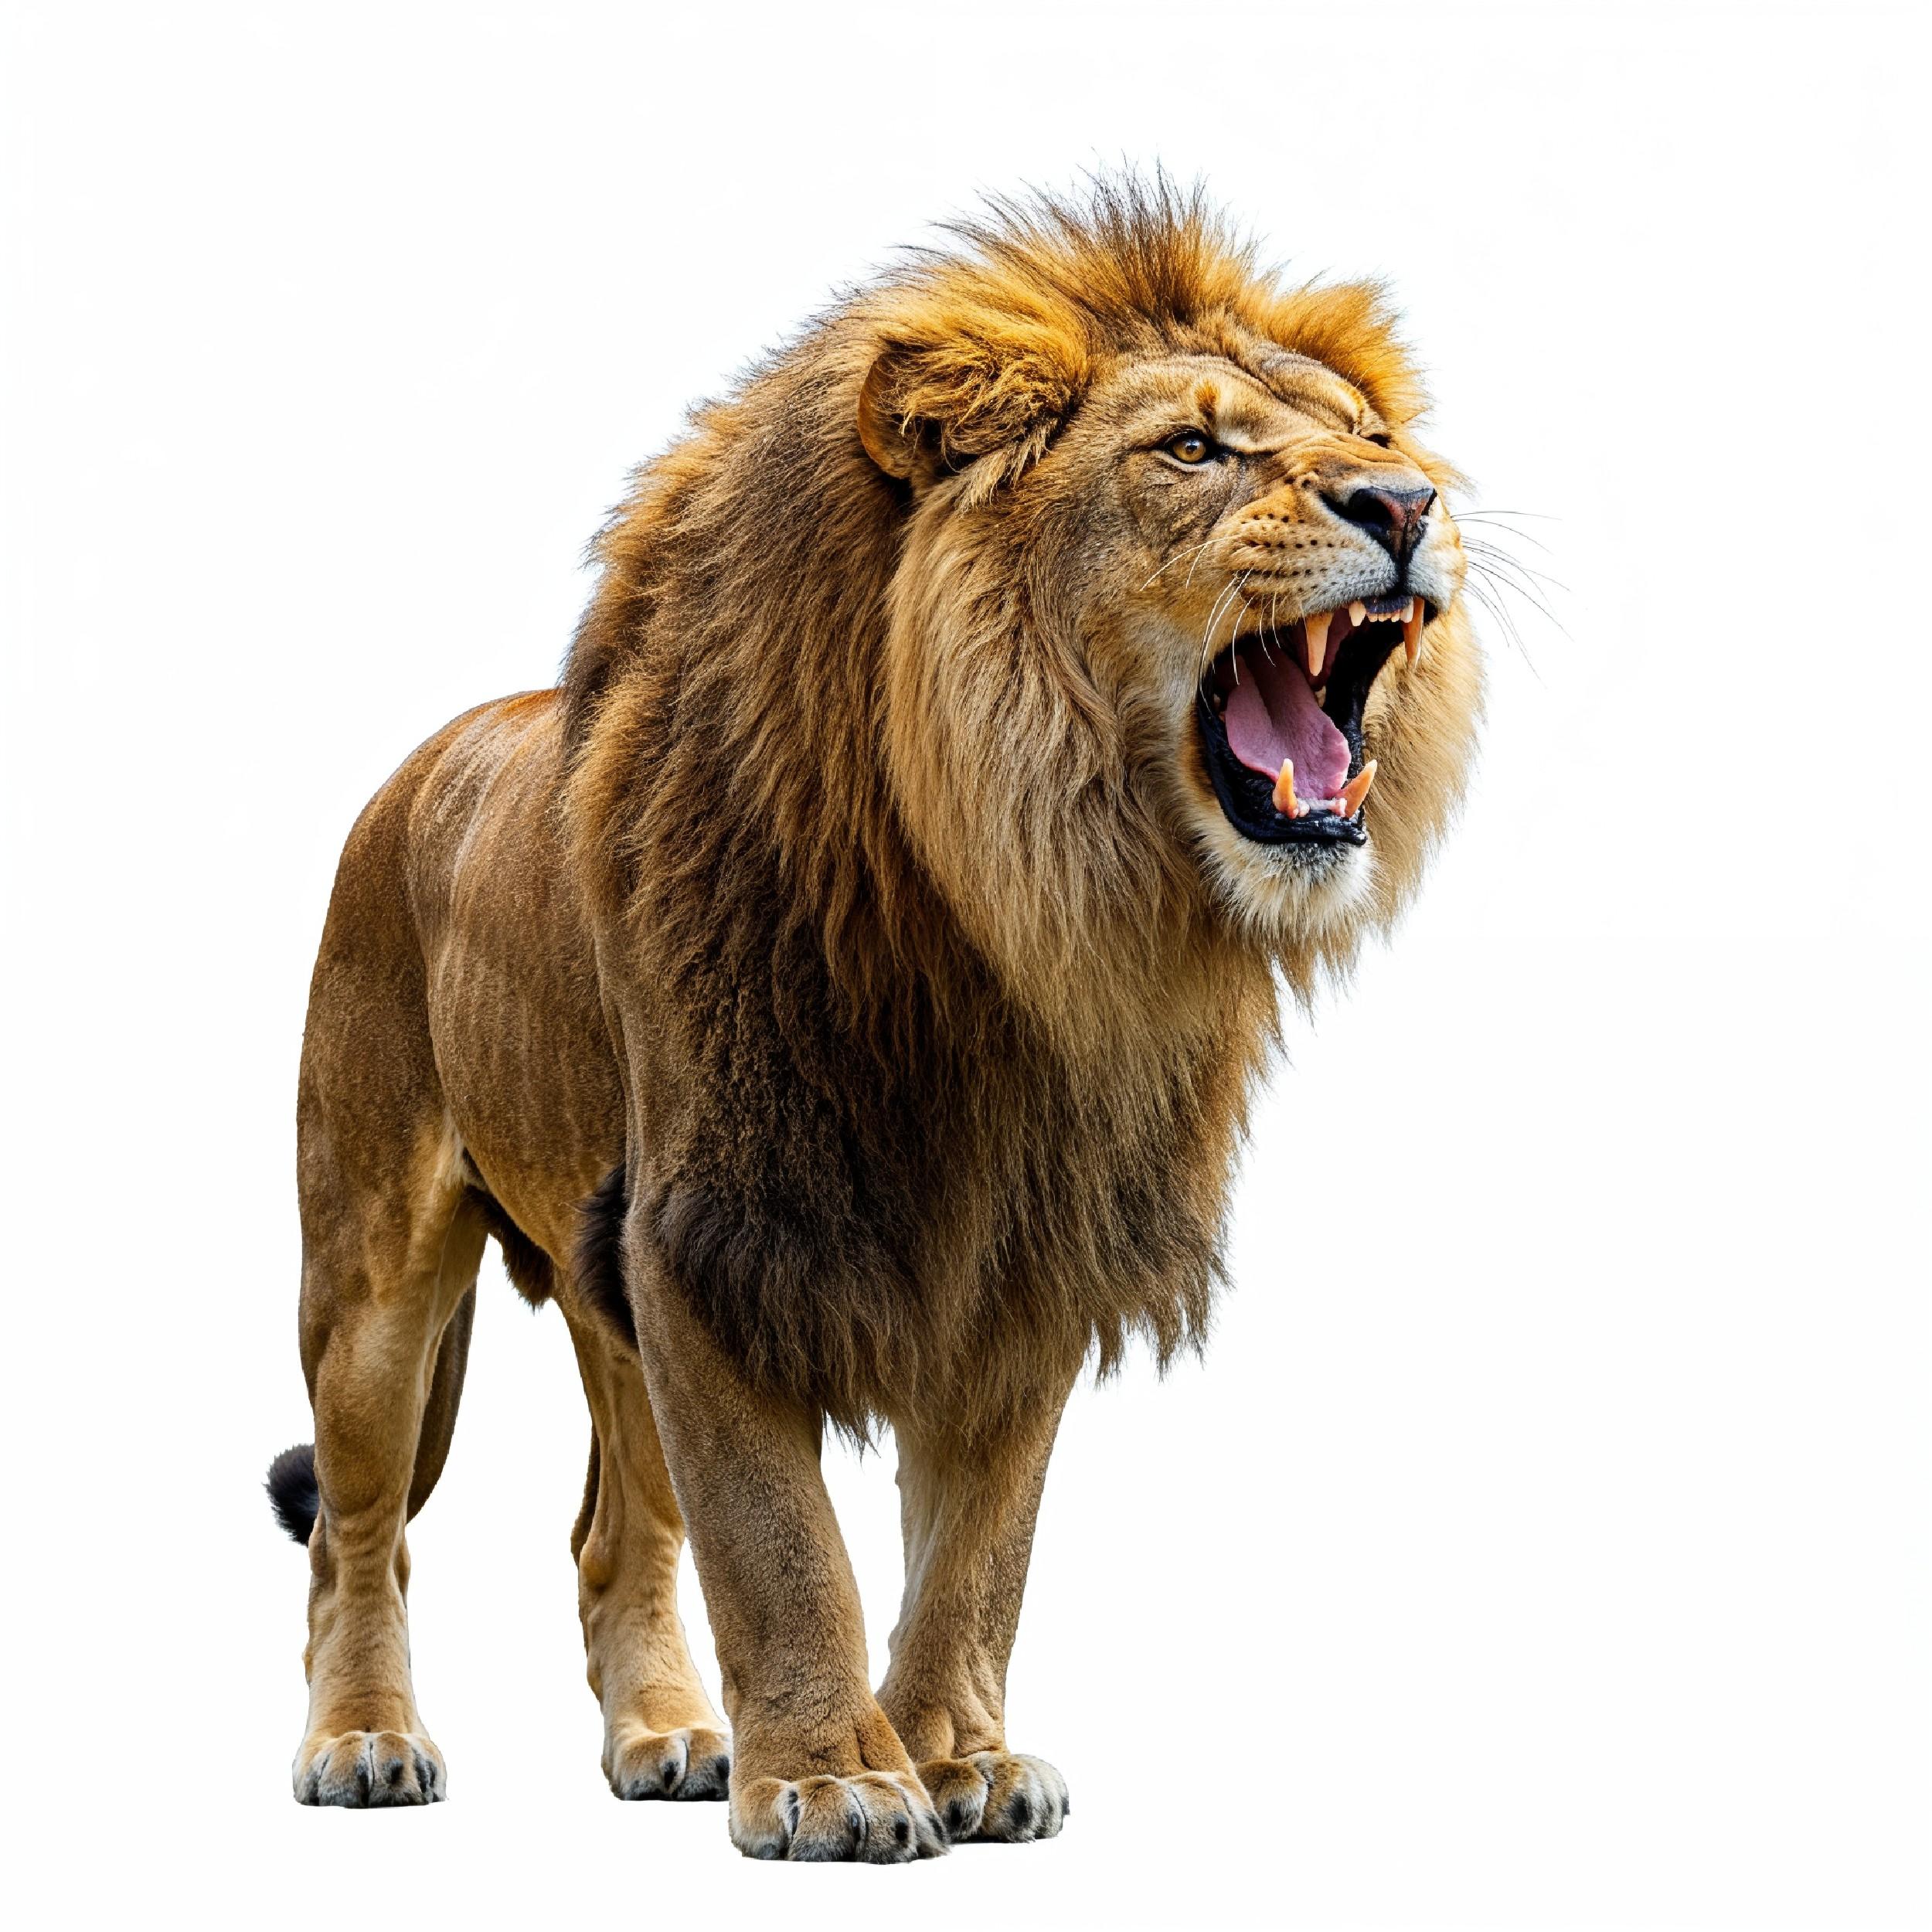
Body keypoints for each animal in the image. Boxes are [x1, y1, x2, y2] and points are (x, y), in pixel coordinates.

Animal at [265, 179, 1480, 1858]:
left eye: (1369, 431)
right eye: (1191, 448)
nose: (1409, 502)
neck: (1012, 923)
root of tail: (416, 762)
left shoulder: (1027, 1255)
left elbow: (980, 1549)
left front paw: (958, 1754)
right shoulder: (712, 1234)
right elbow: (782, 1541)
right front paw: (837, 1775)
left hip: (595, 1287)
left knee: (610, 1534)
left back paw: (666, 1736)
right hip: (372, 1273)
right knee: (356, 1529)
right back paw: (366, 1739)